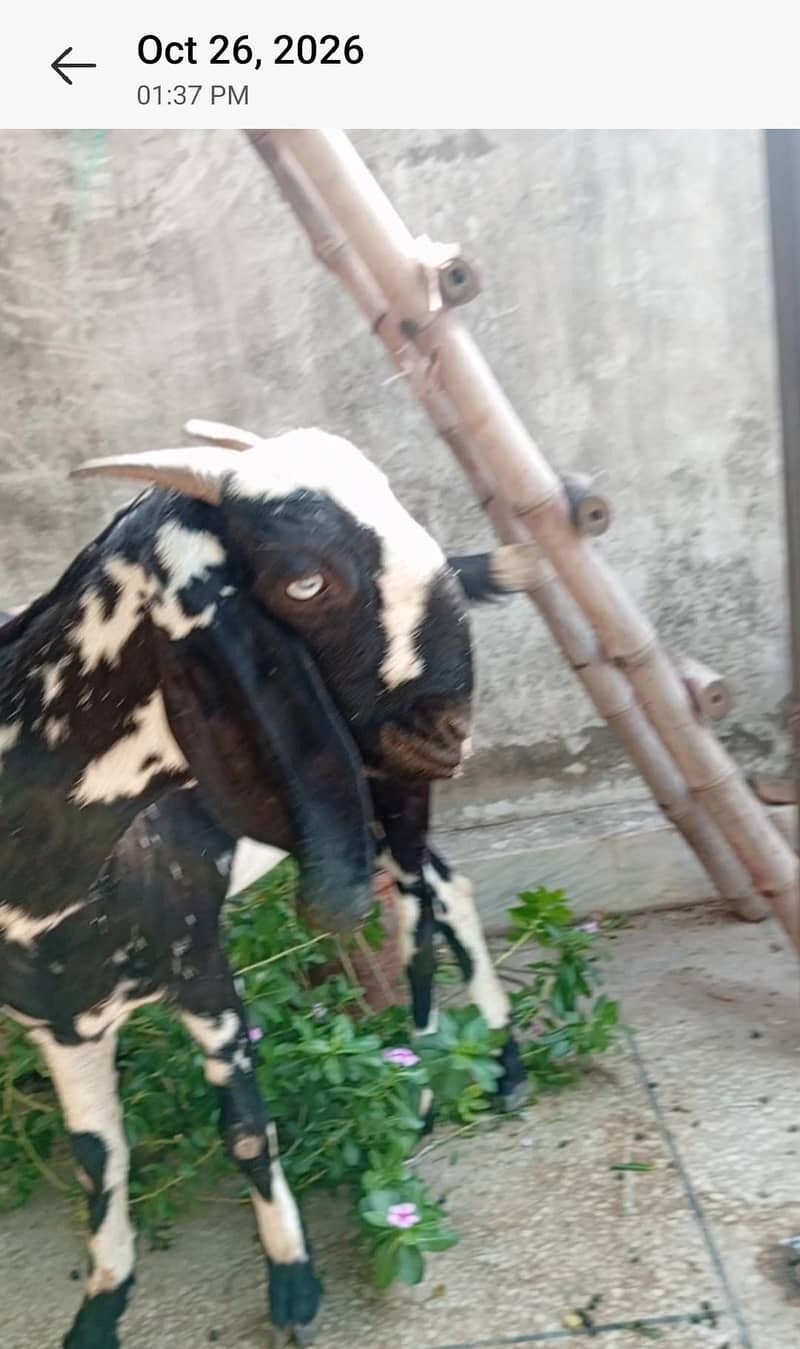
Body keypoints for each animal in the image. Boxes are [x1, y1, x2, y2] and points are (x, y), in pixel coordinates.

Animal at [0, 423, 537, 1349]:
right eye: (304, 578)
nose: (448, 724)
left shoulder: (203, 969)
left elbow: (247, 1131)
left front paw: (293, 1285)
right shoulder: (57, 1022)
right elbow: (98, 1160)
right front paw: (101, 1307)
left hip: (392, 799)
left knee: (427, 907)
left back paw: (467, 1070)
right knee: (445, 887)